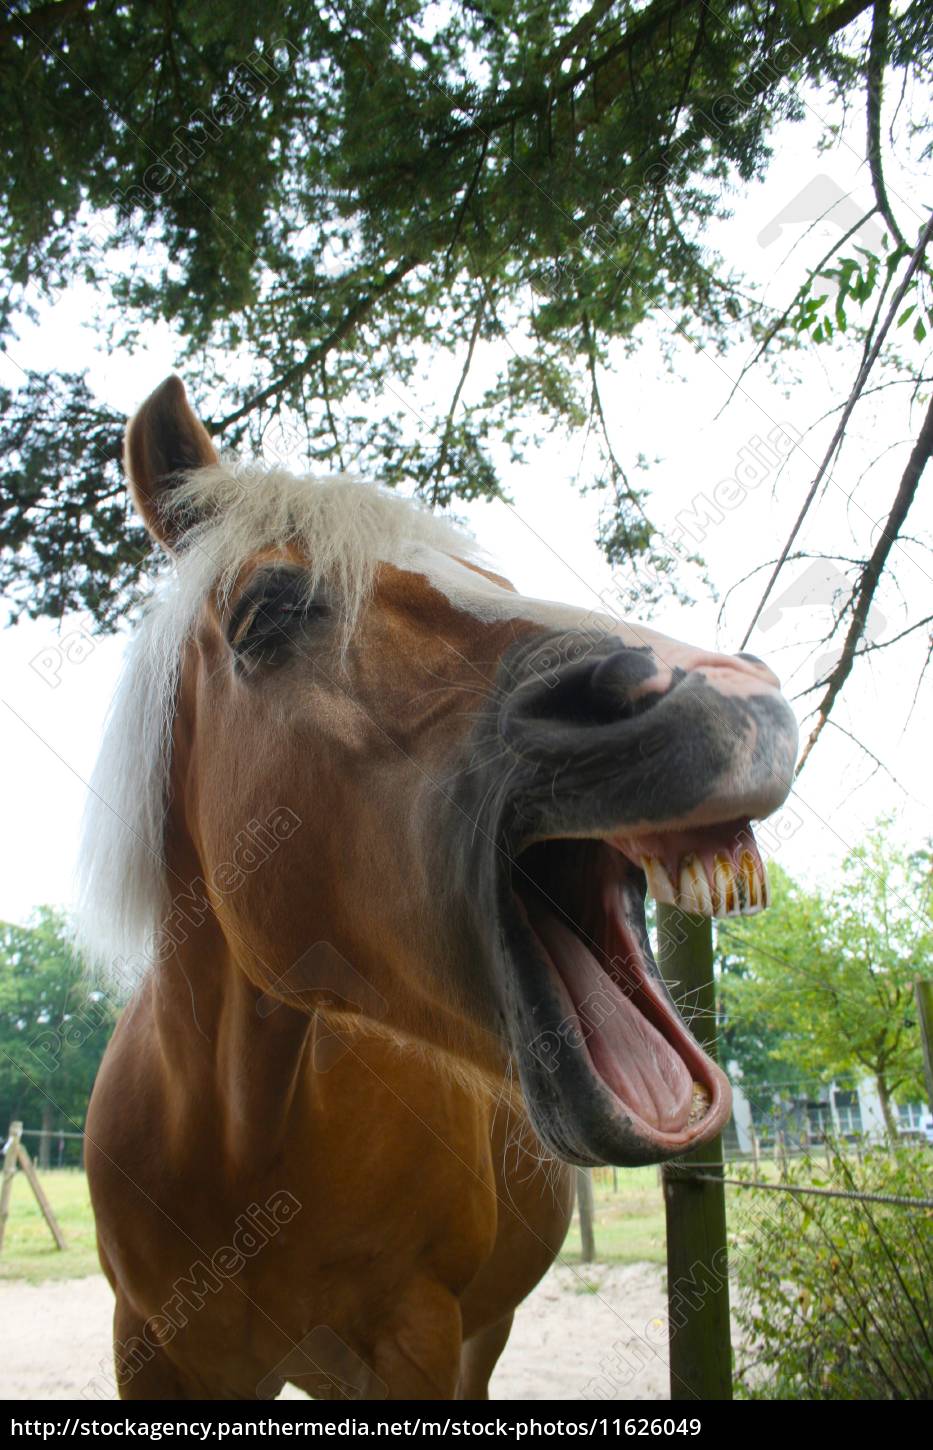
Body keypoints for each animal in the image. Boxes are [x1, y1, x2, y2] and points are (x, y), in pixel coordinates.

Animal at [81, 371, 795, 1392]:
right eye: (267, 610)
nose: (723, 690)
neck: (236, 1129)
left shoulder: (416, 1337)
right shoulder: (146, 1348)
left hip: (477, 1337)